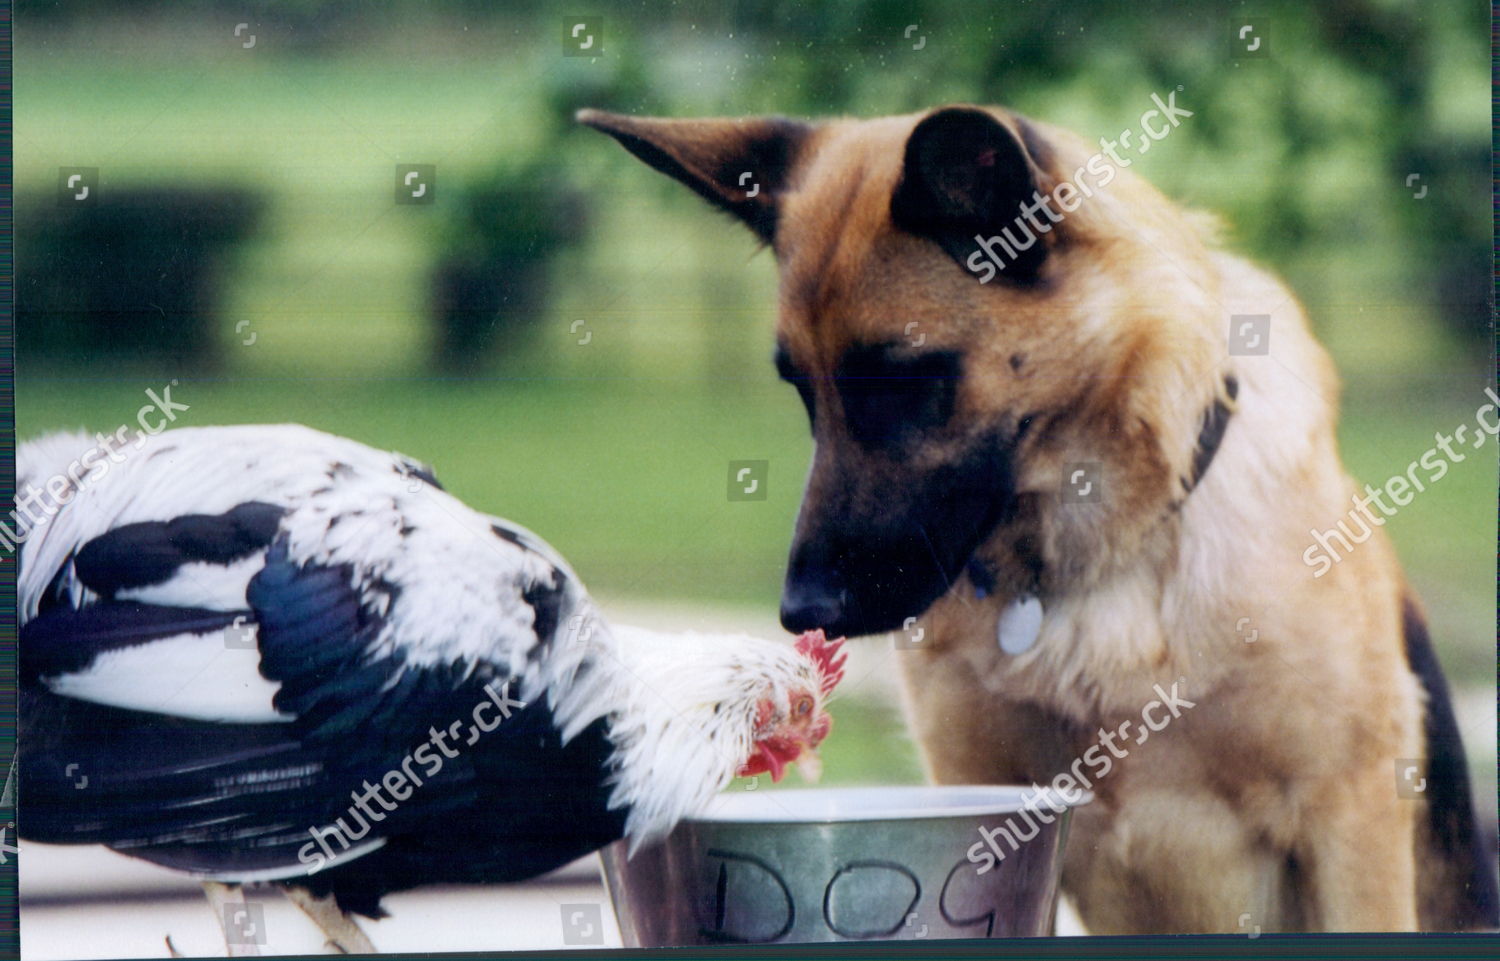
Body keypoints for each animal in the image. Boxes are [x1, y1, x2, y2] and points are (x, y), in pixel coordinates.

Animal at [576, 103, 1500, 929]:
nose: (804, 613)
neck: (1102, 559)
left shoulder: (1348, 824)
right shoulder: (992, 804)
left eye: (909, 380)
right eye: (802, 388)